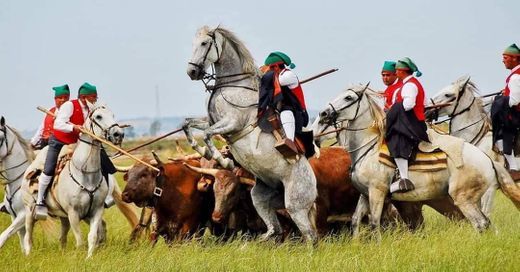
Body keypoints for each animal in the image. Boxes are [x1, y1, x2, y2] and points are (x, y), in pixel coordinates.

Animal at [21, 101, 125, 258]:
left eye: (112, 115)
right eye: (98, 116)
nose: (118, 134)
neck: (86, 174)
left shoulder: (96, 210)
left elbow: (92, 236)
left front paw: (89, 257)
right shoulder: (73, 213)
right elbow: (80, 240)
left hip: (65, 216)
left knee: (63, 236)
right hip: (29, 210)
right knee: (28, 235)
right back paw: (28, 254)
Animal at [185, 25, 318, 242]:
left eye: (204, 43)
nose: (192, 71)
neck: (232, 85)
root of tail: (314, 187)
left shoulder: (232, 122)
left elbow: (207, 135)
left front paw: (222, 159)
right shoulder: (211, 121)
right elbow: (187, 125)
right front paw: (202, 150)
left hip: (295, 205)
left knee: (310, 235)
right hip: (260, 197)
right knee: (274, 229)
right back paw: (252, 243)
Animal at [316, 84, 520, 237]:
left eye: (348, 98)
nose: (324, 113)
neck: (369, 148)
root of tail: (487, 160)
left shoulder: (377, 192)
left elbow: (374, 223)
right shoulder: (365, 194)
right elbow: (356, 221)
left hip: (464, 198)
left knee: (481, 223)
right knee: (485, 224)